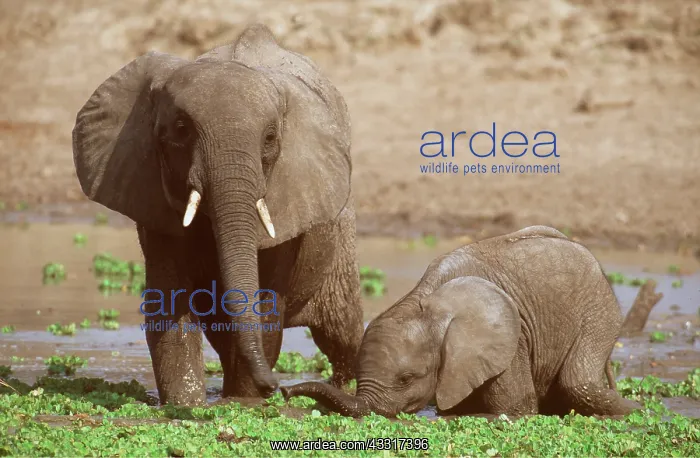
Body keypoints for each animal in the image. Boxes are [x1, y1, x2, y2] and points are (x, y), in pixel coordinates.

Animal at [71, 24, 364, 405]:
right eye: (181, 129)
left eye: (270, 138)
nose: (279, 388)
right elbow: (169, 307)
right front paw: (189, 405)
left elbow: (264, 306)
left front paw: (245, 403)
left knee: (342, 334)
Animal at [281, 226, 641, 418]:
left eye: (406, 379)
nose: (284, 392)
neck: (428, 300)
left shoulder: (511, 340)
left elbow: (516, 408)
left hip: (599, 311)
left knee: (577, 383)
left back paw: (640, 411)